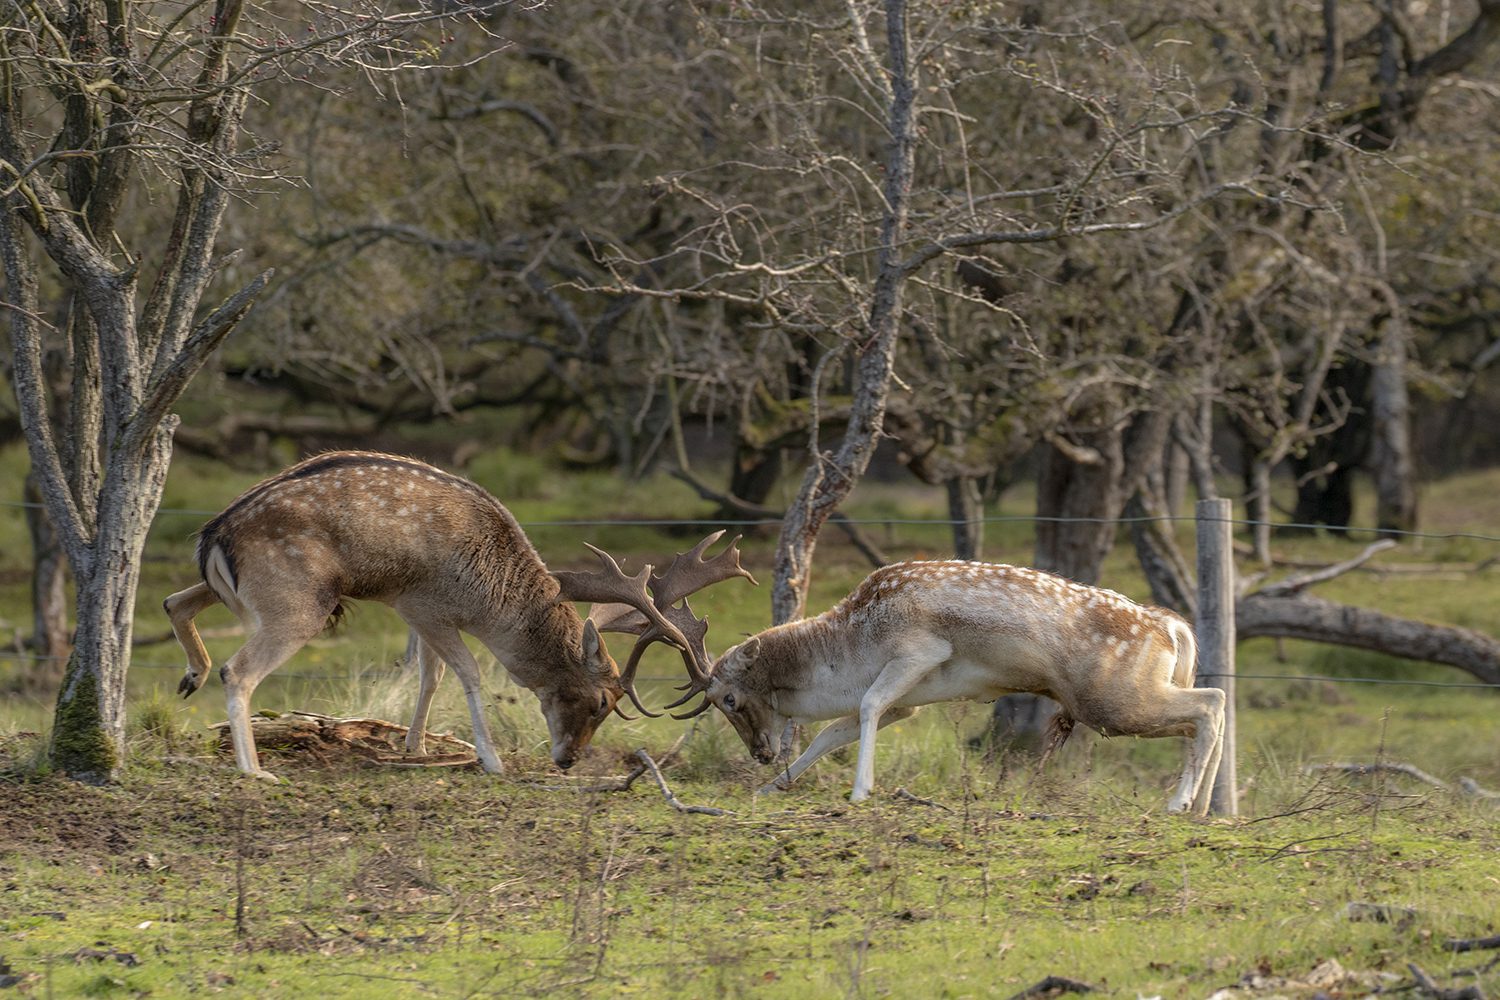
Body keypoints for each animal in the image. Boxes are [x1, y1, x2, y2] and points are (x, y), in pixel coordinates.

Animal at [164, 449, 756, 785]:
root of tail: (212, 534)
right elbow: (467, 672)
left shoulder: (419, 611)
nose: (568, 760)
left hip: (253, 593)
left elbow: (431, 675)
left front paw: (416, 746)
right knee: (238, 670)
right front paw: (489, 760)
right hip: (299, 601)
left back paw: (190, 676)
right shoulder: (421, 603)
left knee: (176, 601)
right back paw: (254, 769)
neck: (485, 598)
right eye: (598, 702)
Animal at [663, 560, 1224, 815]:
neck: (853, 648)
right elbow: (833, 731)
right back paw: (1201, 807)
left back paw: (1181, 803)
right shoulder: (911, 700)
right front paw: (773, 787)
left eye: (729, 698)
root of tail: (1171, 628)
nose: (760, 754)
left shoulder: (919, 651)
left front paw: (861, 790)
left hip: (1112, 699)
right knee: (1210, 709)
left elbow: (866, 707)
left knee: (1209, 704)